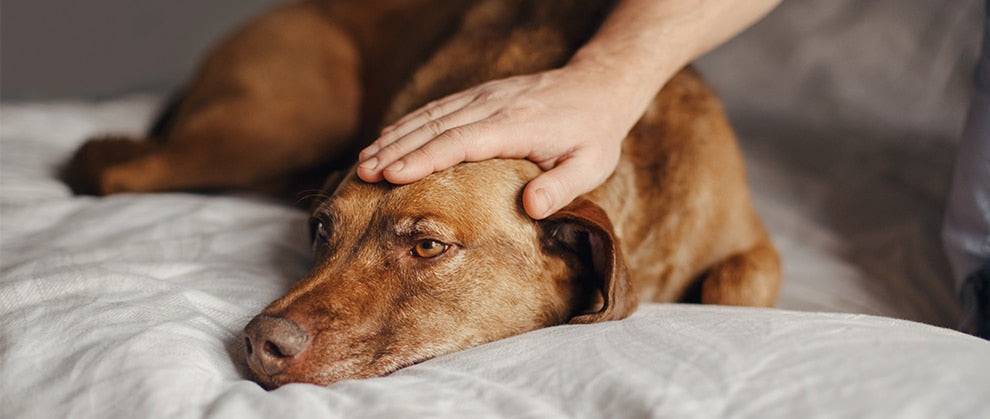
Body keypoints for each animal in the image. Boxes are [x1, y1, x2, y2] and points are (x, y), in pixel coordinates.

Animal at [66, 0, 788, 390]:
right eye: (321, 229)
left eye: (429, 246)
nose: (259, 341)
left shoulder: (751, 244)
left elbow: (738, 281)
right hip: (279, 124)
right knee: (116, 169)